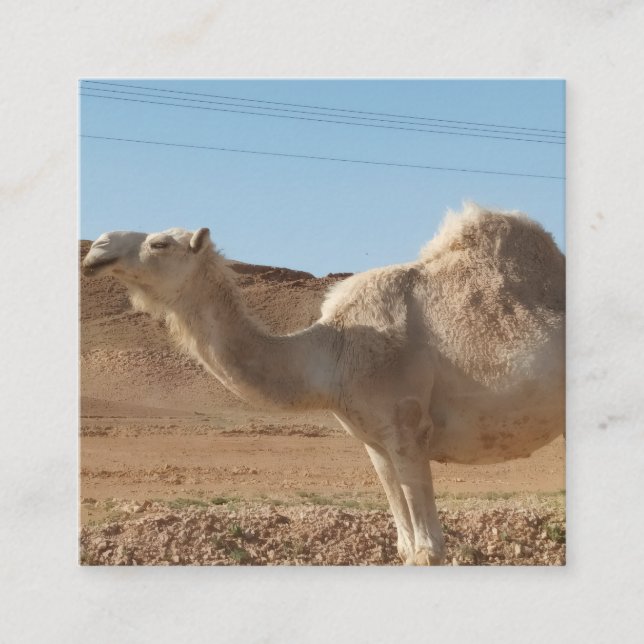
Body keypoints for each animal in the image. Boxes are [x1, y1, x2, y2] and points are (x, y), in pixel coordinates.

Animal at [81, 203, 565, 565]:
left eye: (160, 243)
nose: (97, 248)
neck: (334, 352)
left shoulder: (407, 431)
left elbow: (429, 551)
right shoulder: (375, 443)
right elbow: (406, 546)